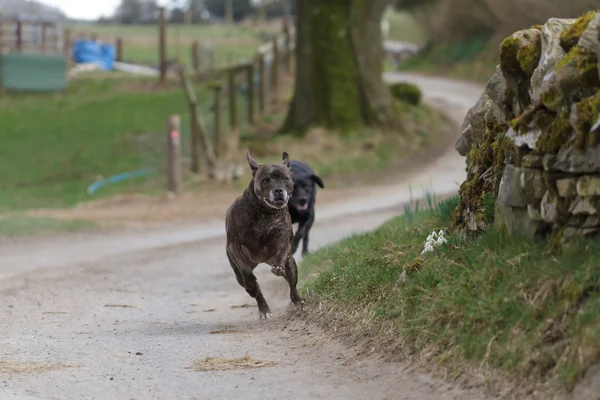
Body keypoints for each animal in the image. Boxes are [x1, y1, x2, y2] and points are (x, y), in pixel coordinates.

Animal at [225, 149, 304, 318]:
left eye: (285, 178)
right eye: (265, 180)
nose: (278, 190)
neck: (265, 211)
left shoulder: (284, 238)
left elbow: (282, 250)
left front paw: (278, 266)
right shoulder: (234, 245)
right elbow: (246, 272)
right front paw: (251, 284)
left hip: (291, 264)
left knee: (292, 285)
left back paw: (297, 300)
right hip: (237, 273)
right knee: (253, 289)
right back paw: (264, 309)